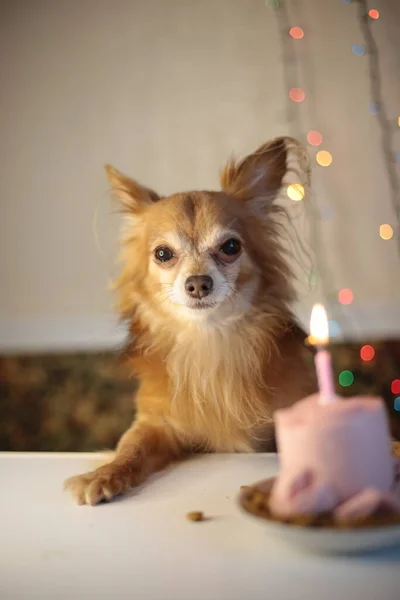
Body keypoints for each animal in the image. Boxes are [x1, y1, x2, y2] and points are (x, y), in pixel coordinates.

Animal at [65, 137, 316, 506]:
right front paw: (103, 475)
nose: (198, 283)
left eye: (230, 247)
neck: (209, 339)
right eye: (163, 254)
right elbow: (131, 449)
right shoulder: (154, 424)